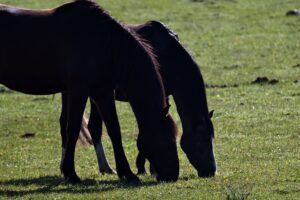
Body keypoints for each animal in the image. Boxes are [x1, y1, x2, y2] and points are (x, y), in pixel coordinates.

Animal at [0, 0, 178, 184]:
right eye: (165, 138)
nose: (173, 175)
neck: (105, 44)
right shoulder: (78, 91)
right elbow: (73, 129)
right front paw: (71, 174)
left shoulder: (103, 92)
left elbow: (114, 130)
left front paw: (127, 173)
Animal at [74, 20, 216, 177]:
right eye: (202, 142)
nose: (211, 171)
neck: (167, 54)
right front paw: (143, 167)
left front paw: (150, 167)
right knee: (94, 127)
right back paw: (105, 167)